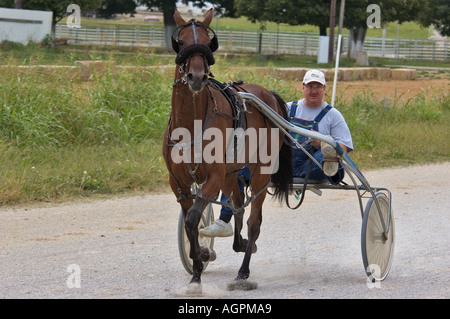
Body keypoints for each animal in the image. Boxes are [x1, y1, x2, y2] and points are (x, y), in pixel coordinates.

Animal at [163, 7, 294, 292]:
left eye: (207, 41)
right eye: (182, 42)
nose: (197, 76)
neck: (191, 124)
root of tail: (267, 95)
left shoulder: (212, 176)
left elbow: (193, 218)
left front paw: (200, 259)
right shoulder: (178, 182)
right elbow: (190, 220)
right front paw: (199, 263)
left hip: (259, 172)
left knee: (254, 221)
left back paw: (243, 272)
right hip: (231, 173)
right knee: (237, 205)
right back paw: (240, 243)